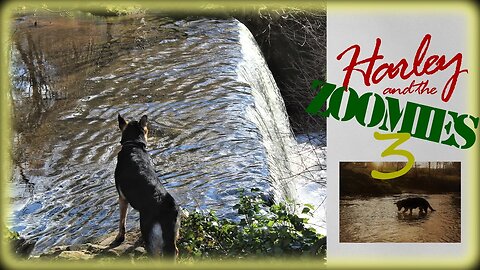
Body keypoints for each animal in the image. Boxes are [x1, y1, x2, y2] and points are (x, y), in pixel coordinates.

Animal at [113, 113, 181, 258]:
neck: (133, 145)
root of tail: (168, 207)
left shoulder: (122, 198)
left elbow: (122, 221)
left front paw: (120, 238)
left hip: (149, 236)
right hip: (172, 236)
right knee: (175, 252)